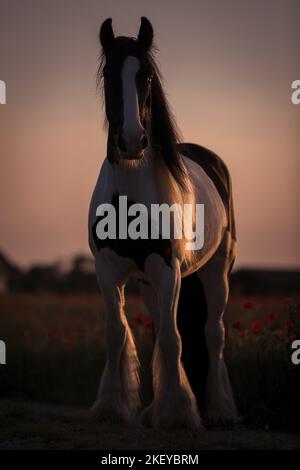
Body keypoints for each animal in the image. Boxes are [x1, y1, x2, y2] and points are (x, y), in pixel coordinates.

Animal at [88, 17, 238, 430]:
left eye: (148, 76)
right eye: (108, 74)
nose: (132, 141)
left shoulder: (168, 271)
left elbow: (174, 341)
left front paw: (179, 414)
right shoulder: (108, 271)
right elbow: (117, 335)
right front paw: (112, 407)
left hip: (215, 272)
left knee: (213, 334)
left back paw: (218, 409)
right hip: (148, 285)